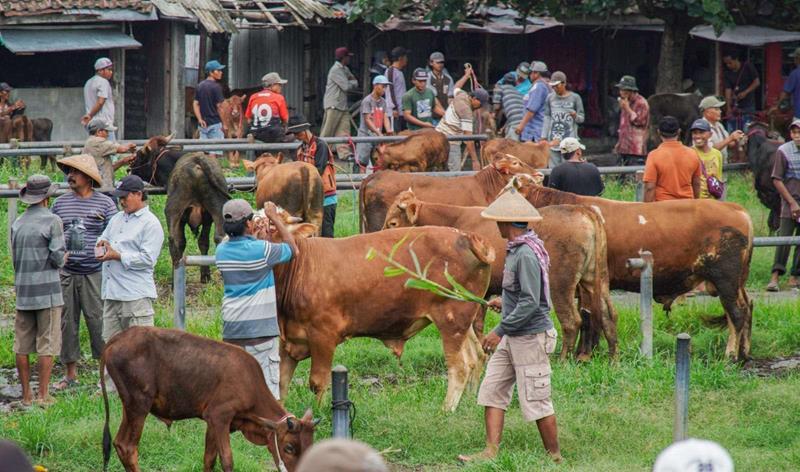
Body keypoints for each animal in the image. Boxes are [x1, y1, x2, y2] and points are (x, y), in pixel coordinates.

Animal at [103, 326, 318, 472]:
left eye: (311, 445)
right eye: (289, 447)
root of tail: (116, 339)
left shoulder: (213, 423)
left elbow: (209, 458)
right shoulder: (219, 416)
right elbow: (227, 460)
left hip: (129, 407)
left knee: (119, 443)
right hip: (139, 404)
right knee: (128, 447)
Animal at [266, 223, 496, 412]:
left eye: (271, 229)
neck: (302, 267)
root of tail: (466, 236)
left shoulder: (323, 336)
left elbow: (317, 382)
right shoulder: (289, 340)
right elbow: (280, 382)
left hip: (451, 319)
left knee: (459, 367)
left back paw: (446, 410)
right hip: (463, 320)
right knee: (476, 356)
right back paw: (468, 403)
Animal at [384, 191, 616, 358]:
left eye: (393, 223)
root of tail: (582, 210)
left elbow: (474, 323)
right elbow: (478, 323)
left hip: (561, 284)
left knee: (572, 321)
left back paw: (563, 359)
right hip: (596, 279)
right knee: (608, 314)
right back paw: (612, 357)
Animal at [516, 175, 752, 360]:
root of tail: (737, 209)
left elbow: (587, 317)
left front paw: (584, 354)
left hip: (726, 279)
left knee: (737, 312)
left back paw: (730, 355)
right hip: (735, 282)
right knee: (747, 306)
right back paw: (744, 353)